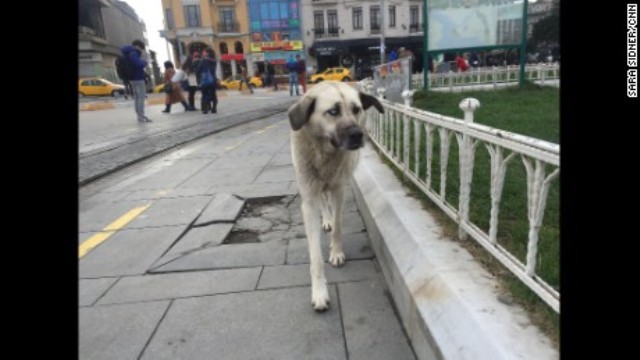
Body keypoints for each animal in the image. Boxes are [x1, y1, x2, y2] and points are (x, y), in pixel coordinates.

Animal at [290, 81, 384, 310]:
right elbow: (315, 256)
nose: (358, 135)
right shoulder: (309, 199)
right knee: (322, 201)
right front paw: (319, 292)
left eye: (356, 109)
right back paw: (326, 219)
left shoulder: (339, 190)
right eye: (333, 112)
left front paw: (336, 251)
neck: (324, 154)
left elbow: (339, 226)